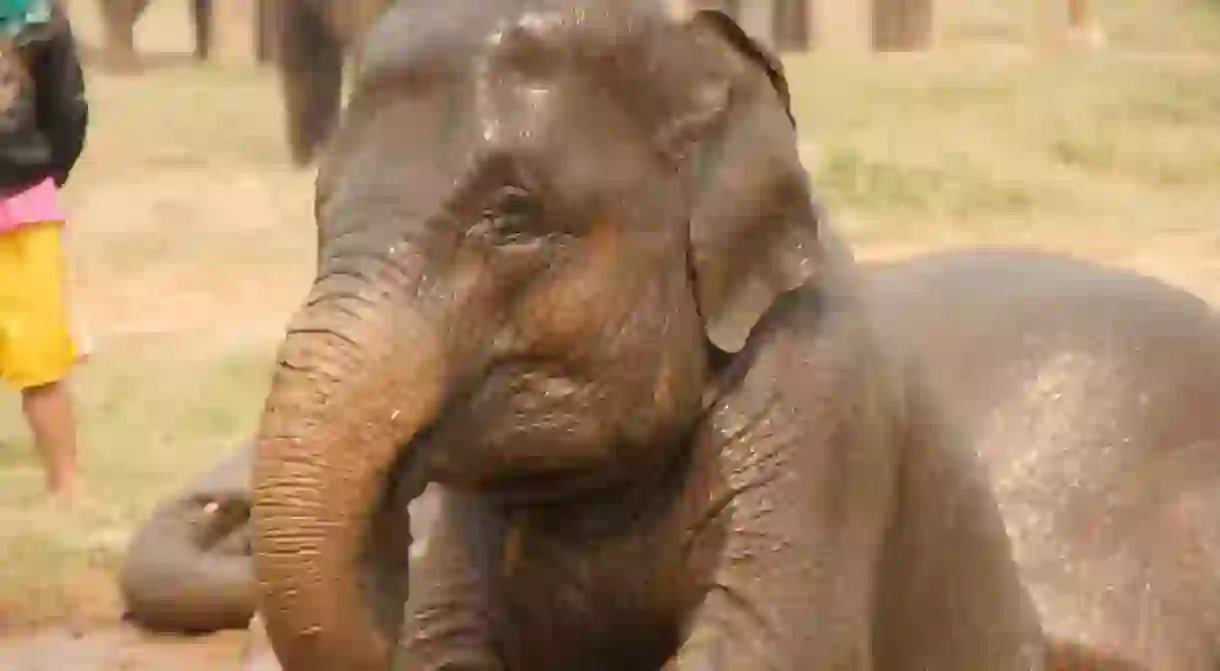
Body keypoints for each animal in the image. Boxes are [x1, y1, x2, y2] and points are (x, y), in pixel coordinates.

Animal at [247, 1, 1049, 671]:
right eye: (320, 208)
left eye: (514, 216)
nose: (385, 549)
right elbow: (448, 635)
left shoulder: (823, 409)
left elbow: (771, 641)